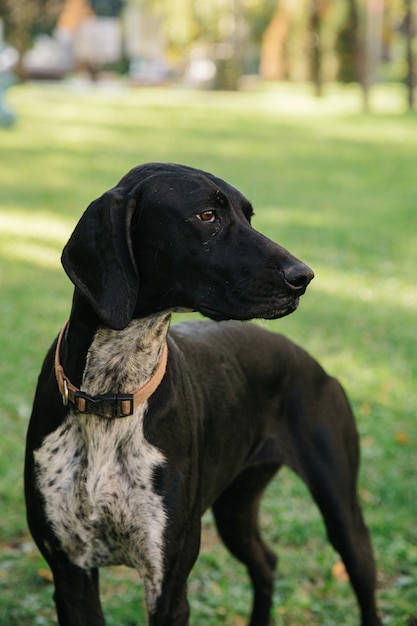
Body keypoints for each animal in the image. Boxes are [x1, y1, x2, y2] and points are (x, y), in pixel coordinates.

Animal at [25, 163, 380, 620]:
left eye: (248, 216)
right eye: (207, 216)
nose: (303, 276)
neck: (111, 392)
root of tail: (313, 362)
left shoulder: (168, 584)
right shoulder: (70, 575)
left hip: (342, 516)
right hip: (236, 509)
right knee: (267, 562)